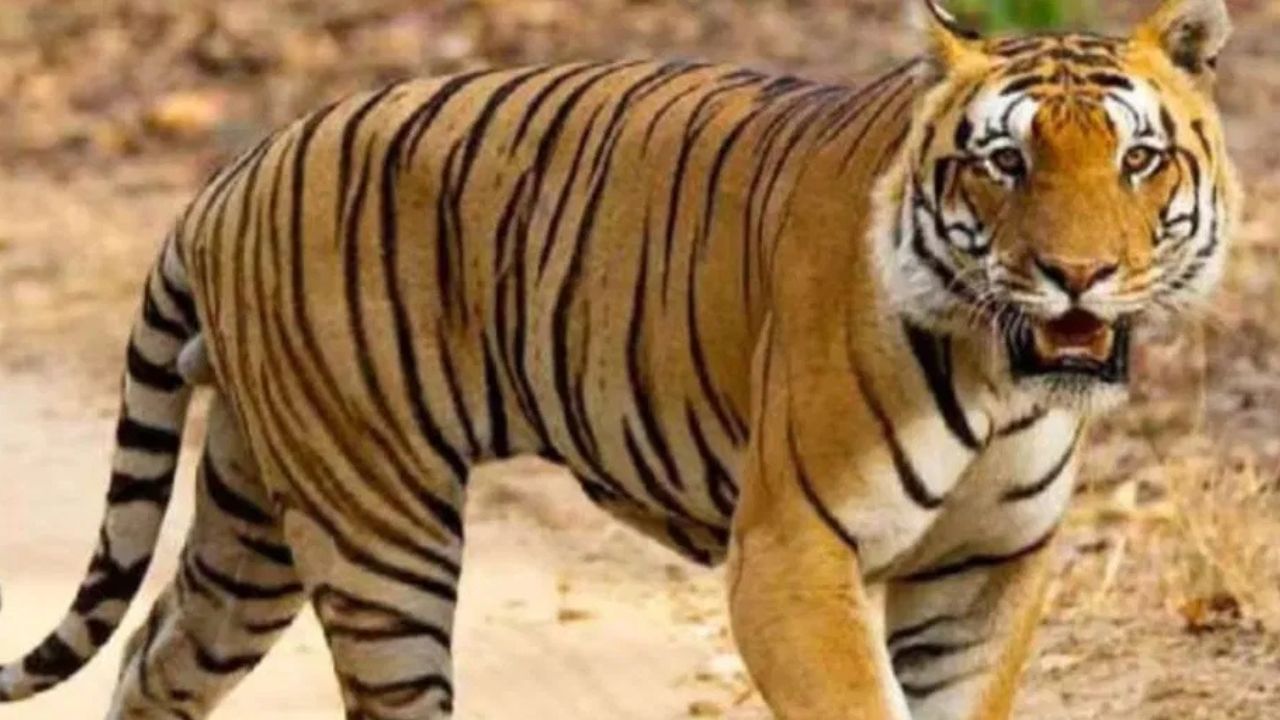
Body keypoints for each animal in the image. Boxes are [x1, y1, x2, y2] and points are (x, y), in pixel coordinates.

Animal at [0, 0, 1239, 718]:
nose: (1076, 275)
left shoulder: (985, 569)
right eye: (1001, 163)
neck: (1002, 385)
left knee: (158, 650)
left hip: (255, 512)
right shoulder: (790, 556)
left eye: (1135, 160)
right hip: (375, 530)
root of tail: (234, 173)